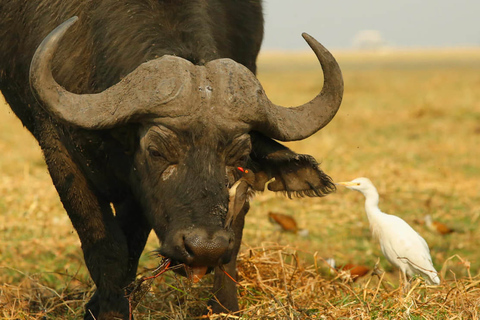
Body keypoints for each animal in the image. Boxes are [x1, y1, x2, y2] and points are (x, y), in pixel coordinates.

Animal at [0, 1, 344, 318]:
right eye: (156, 151)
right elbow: (108, 246)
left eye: (241, 156)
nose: (205, 249)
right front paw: (109, 310)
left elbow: (134, 241)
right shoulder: (59, 149)